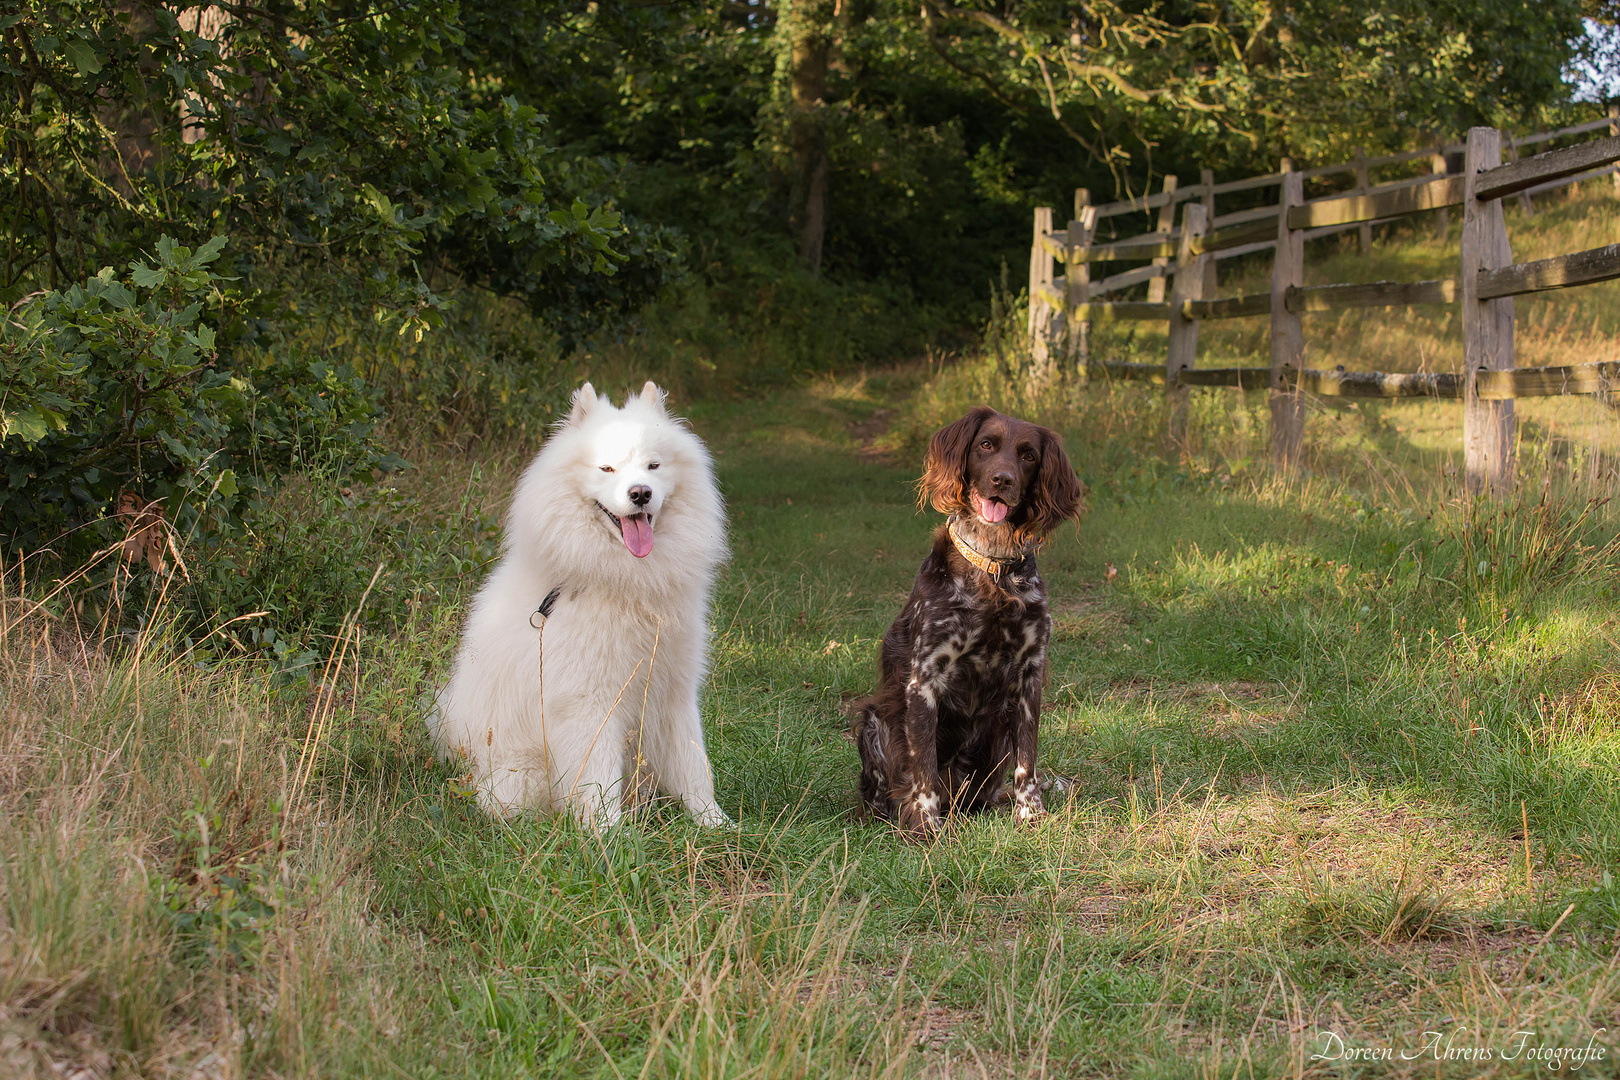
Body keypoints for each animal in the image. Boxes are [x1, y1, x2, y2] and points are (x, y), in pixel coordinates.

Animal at [434, 383, 732, 835]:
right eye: (607, 469)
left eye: (653, 465)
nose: (640, 493)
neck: (629, 582)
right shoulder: (589, 700)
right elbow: (598, 776)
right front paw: (610, 834)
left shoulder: (672, 688)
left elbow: (694, 764)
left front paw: (716, 825)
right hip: (517, 776)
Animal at [855, 404, 1082, 835]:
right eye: (986, 445)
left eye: (1029, 456)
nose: (1002, 479)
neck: (992, 570)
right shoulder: (924, 680)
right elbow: (923, 768)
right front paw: (926, 829)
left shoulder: (1030, 675)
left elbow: (1028, 762)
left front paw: (1031, 815)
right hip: (874, 721)